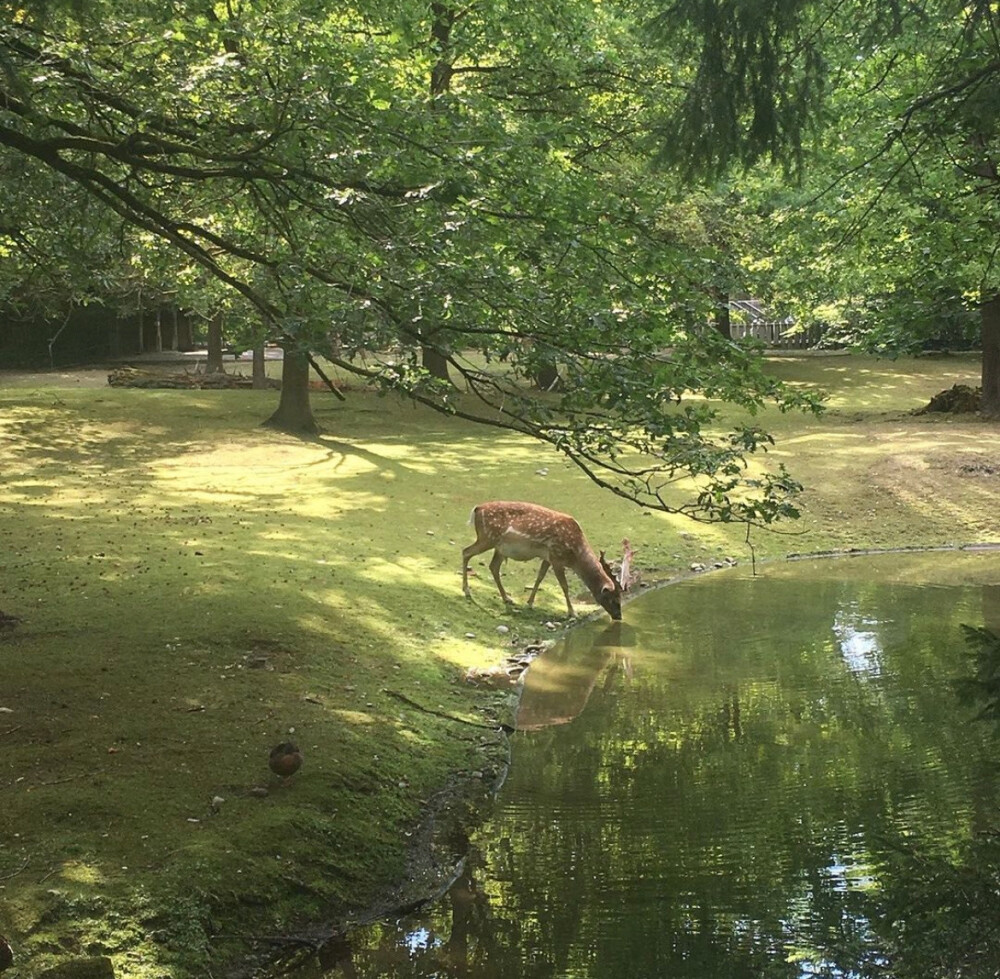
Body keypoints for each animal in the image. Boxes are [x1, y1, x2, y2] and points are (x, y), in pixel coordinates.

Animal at [462, 506, 624, 620]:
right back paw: (467, 591)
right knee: (466, 552)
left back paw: (507, 598)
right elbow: (564, 586)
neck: (574, 555)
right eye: (613, 599)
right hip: (487, 537)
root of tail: (477, 509)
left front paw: (530, 602)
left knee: (493, 566)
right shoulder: (557, 557)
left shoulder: (547, 557)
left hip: (499, 547)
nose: (619, 616)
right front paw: (572, 612)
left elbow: (539, 578)